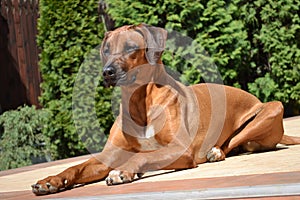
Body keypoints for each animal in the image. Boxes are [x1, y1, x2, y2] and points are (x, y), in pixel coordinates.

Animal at [31, 23, 300, 194]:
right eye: (106, 50)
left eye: (130, 48)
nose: (107, 72)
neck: (140, 102)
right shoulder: (109, 154)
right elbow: (76, 167)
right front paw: (51, 180)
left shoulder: (180, 149)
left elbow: (143, 156)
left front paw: (124, 171)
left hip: (271, 109)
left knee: (232, 142)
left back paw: (215, 151)